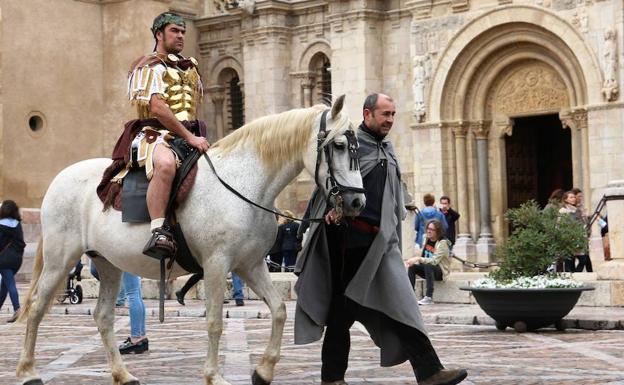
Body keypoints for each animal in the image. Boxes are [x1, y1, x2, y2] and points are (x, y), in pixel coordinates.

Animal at [15, 94, 366, 384]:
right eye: (337, 146)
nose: (356, 202)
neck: (245, 183)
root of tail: (60, 177)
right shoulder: (216, 264)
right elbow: (214, 321)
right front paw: (214, 376)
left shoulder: (250, 265)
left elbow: (279, 309)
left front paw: (263, 370)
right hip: (61, 258)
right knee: (36, 306)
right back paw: (28, 371)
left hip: (109, 263)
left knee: (103, 316)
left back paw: (123, 374)